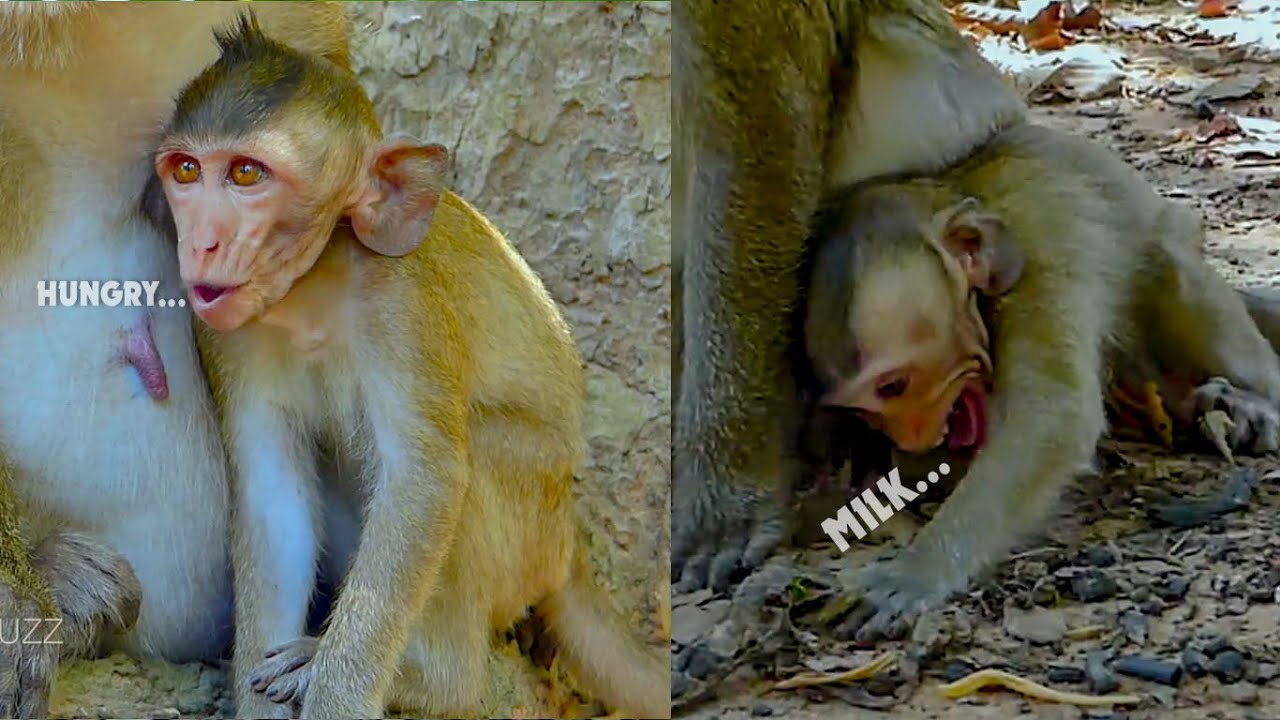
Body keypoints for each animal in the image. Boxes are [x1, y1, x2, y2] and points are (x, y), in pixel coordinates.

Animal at [141, 16, 668, 719]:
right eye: (187, 169)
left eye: (248, 174)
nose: (200, 242)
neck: (314, 287)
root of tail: (570, 551)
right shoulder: (224, 333)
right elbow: (271, 493)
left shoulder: (402, 304)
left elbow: (427, 477)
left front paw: (338, 695)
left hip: (532, 525)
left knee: (470, 458)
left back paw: (437, 681)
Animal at [799, 121, 1280, 640]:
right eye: (866, 410)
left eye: (894, 386)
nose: (913, 436)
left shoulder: (1040, 265)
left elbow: (1056, 415)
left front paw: (917, 570)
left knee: (1167, 269)